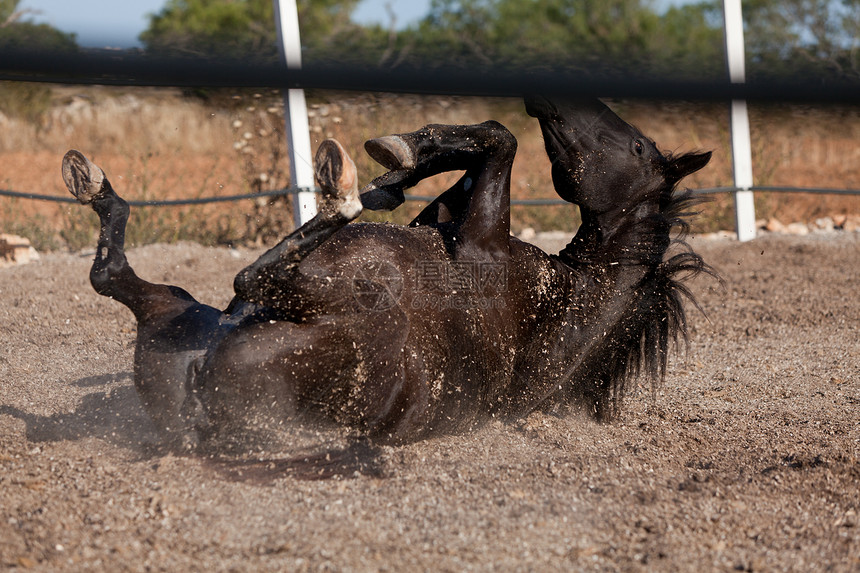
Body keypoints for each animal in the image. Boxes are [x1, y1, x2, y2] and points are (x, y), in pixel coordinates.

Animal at [62, 96, 712, 450]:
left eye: (634, 148)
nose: (549, 93)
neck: (563, 305)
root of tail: (201, 413)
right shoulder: (451, 217)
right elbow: (473, 154)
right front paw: (401, 163)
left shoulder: (480, 237)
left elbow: (500, 141)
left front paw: (389, 165)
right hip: (174, 312)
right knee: (112, 275)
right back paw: (92, 183)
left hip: (343, 304)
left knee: (249, 279)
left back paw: (339, 189)